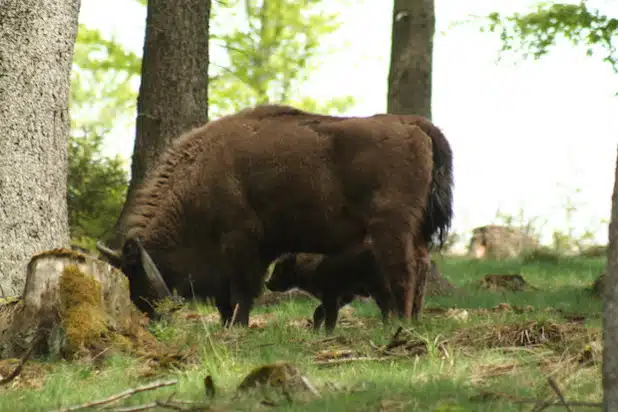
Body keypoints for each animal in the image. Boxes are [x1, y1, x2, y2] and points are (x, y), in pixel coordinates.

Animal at [96, 104, 452, 326]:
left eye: (138, 275)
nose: (155, 317)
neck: (197, 174)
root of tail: (414, 124)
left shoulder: (240, 243)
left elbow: (242, 291)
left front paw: (237, 326)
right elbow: (231, 295)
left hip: (391, 226)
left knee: (403, 270)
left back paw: (402, 321)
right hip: (413, 230)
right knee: (420, 265)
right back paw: (413, 319)